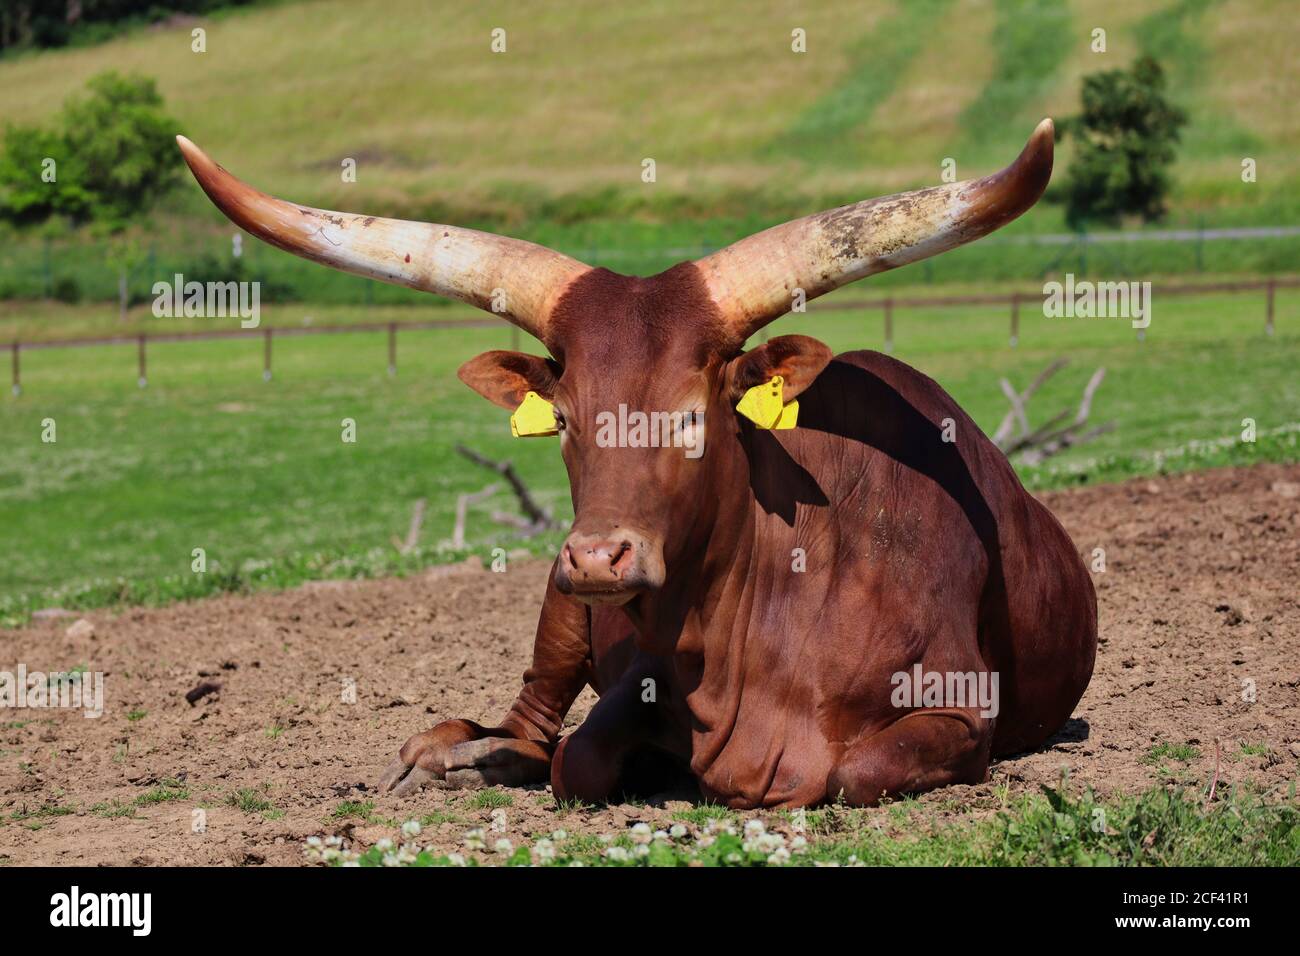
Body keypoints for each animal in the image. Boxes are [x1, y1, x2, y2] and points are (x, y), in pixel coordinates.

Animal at [180, 119, 1097, 806]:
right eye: (565, 420)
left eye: (691, 415)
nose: (598, 558)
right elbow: (576, 759)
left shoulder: (961, 713)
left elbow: (851, 770)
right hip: (557, 613)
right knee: (529, 727)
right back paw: (454, 756)